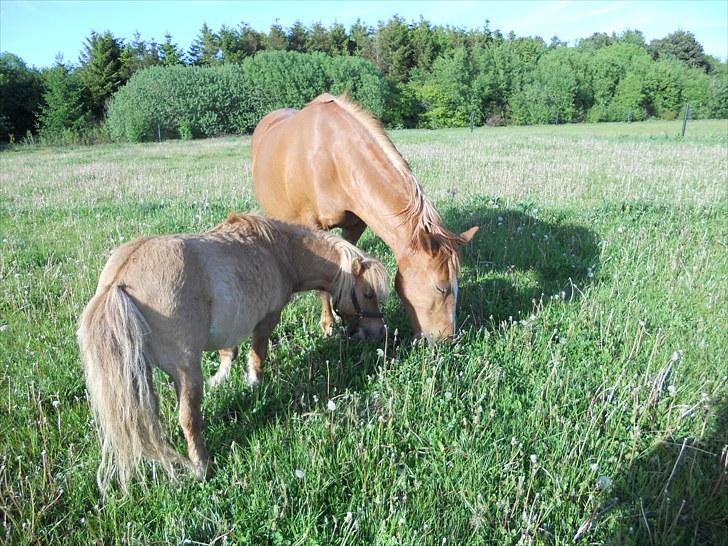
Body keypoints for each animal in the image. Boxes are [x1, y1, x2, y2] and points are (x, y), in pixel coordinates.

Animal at [77, 212, 390, 492]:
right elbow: (257, 353)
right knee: (189, 419)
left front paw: (223, 378)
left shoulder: (235, 322)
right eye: (368, 293)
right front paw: (254, 382)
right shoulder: (267, 320)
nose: (378, 333)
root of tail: (118, 281)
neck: (279, 252)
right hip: (186, 371)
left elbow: (229, 351)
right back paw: (203, 467)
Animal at [253, 93, 480, 340]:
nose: (448, 339)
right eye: (441, 287)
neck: (332, 157)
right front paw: (328, 325)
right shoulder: (314, 227)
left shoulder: (355, 226)